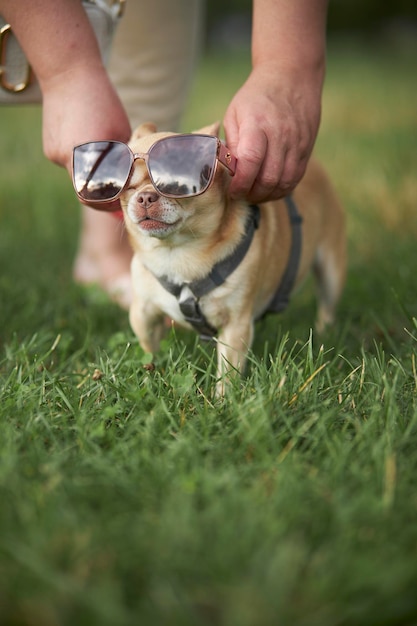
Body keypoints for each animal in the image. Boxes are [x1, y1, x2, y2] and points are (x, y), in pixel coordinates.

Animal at [119, 122, 344, 394]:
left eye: (177, 186)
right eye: (128, 187)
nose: (144, 197)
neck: (178, 254)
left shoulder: (236, 326)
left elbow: (228, 371)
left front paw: (222, 401)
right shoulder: (143, 312)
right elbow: (148, 344)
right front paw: (151, 373)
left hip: (331, 271)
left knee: (327, 305)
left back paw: (325, 335)